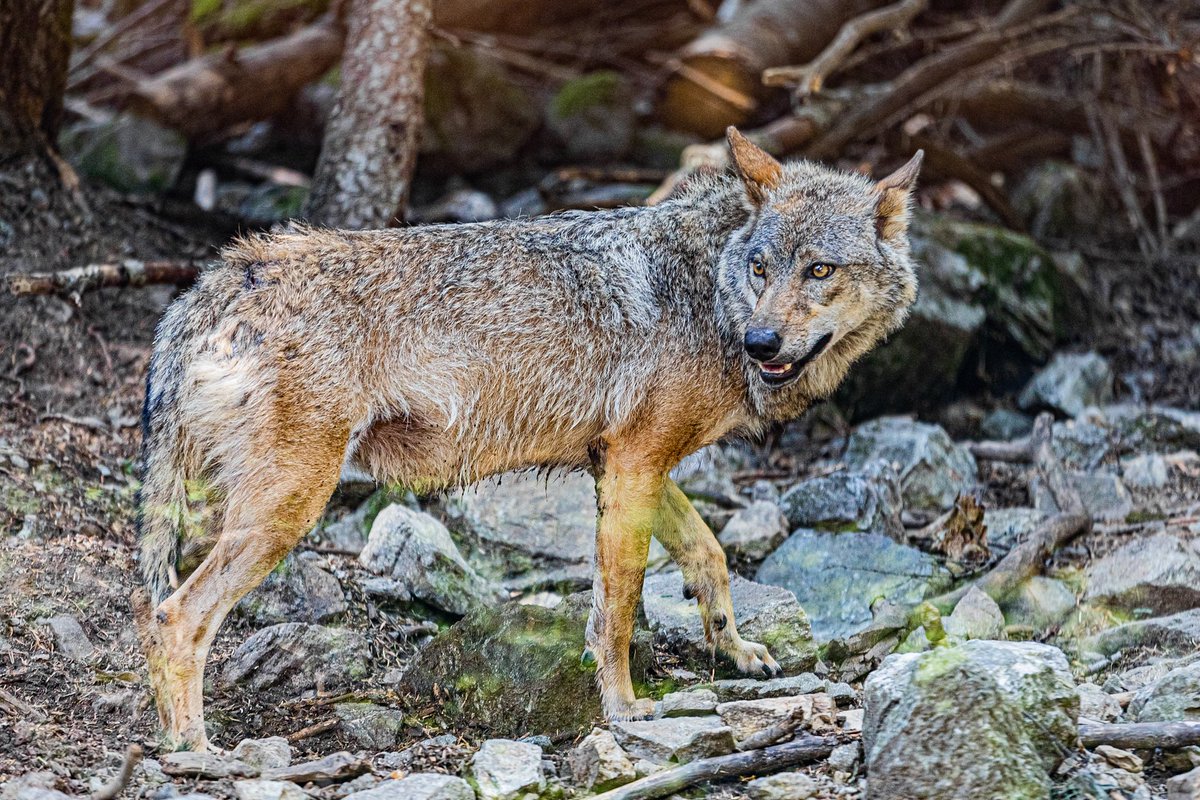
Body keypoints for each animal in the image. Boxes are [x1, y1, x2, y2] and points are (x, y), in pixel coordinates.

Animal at [133, 127, 921, 750]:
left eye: (818, 270)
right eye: (760, 268)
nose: (762, 343)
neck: (710, 292)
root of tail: (218, 278)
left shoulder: (625, 464)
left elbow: (709, 556)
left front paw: (736, 650)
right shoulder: (635, 464)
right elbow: (618, 609)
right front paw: (625, 709)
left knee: (155, 611)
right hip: (289, 508)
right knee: (175, 613)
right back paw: (197, 751)